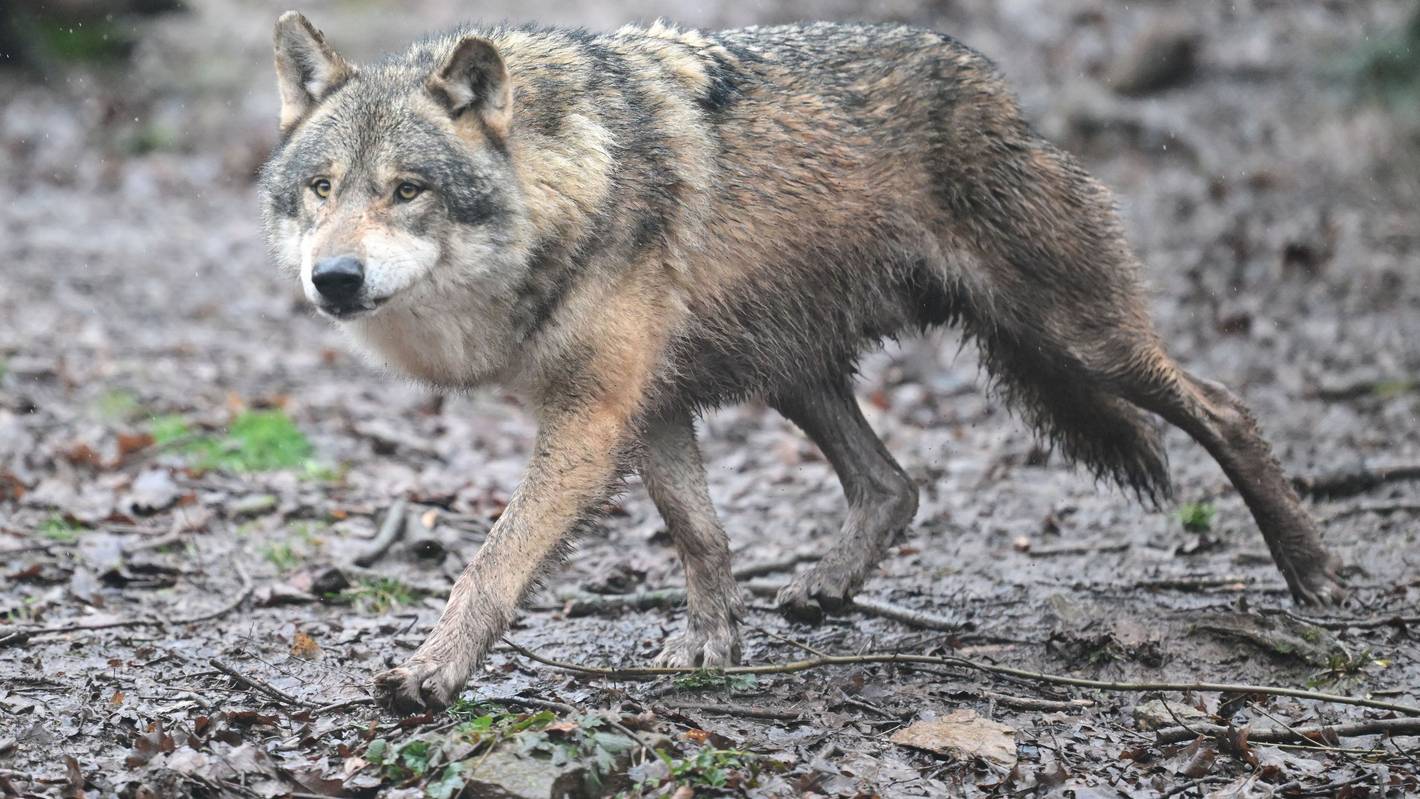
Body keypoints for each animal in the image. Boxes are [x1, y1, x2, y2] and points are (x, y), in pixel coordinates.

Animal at [259, 11, 1345, 713]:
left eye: (407, 190)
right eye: (322, 187)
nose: (335, 278)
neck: (568, 182)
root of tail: (998, 87)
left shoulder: (592, 415)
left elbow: (490, 563)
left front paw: (430, 673)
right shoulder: (647, 406)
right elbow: (700, 534)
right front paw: (711, 644)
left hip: (1076, 337)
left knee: (1225, 407)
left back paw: (1313, 574)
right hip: (795, 371)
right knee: (894, 484)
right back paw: (824, 586)